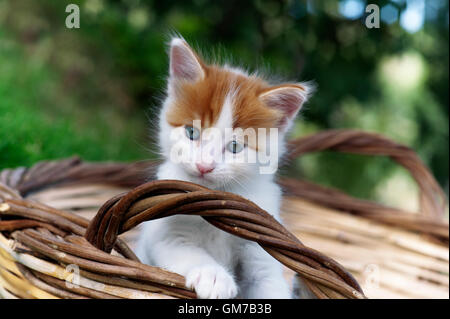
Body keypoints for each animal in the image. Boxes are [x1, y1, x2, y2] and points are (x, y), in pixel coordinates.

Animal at [137, 37, 312, 300]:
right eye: (191, 132)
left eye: (235, 146)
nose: (204, 166)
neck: (219, 198)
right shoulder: (165, 235)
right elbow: (187, 251)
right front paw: (213, 276)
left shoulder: (261, 247)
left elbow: (269, 283)